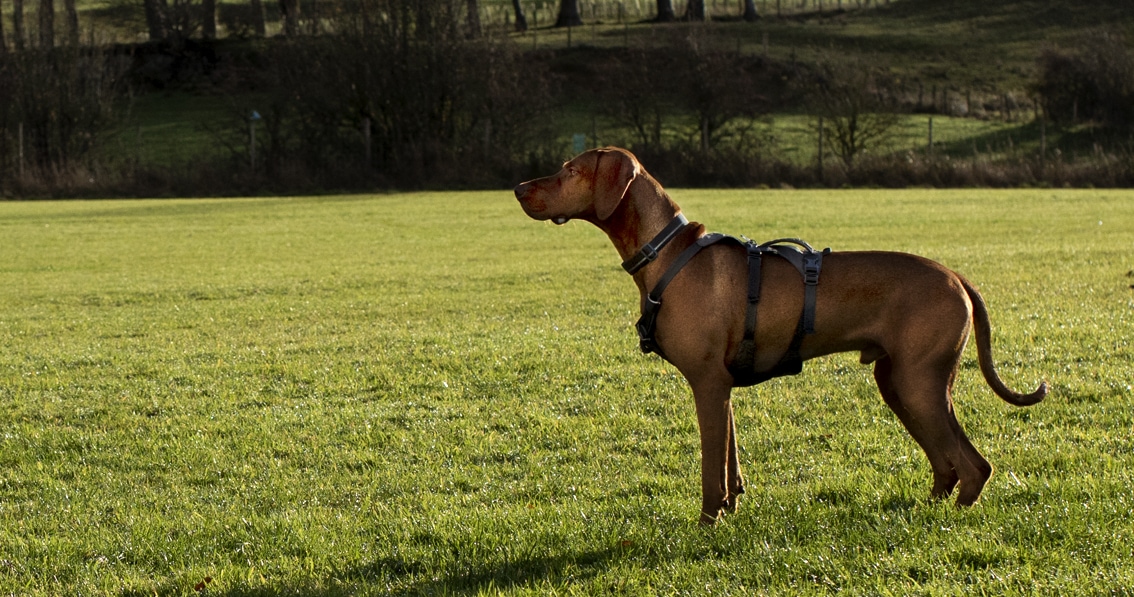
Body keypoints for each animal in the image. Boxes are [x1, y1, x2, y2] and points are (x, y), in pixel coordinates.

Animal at [514, 147, 1043, 526]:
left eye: (569, 170)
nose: (517, 188)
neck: (666, 253)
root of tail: (956, 276)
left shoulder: (707, 383)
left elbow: (710, 470)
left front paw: (707, 524)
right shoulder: (722, 387)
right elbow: (730, 463)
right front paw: (732, 508)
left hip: (919, 383)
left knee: (973, 466)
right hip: (898, 383)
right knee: (946, 464)